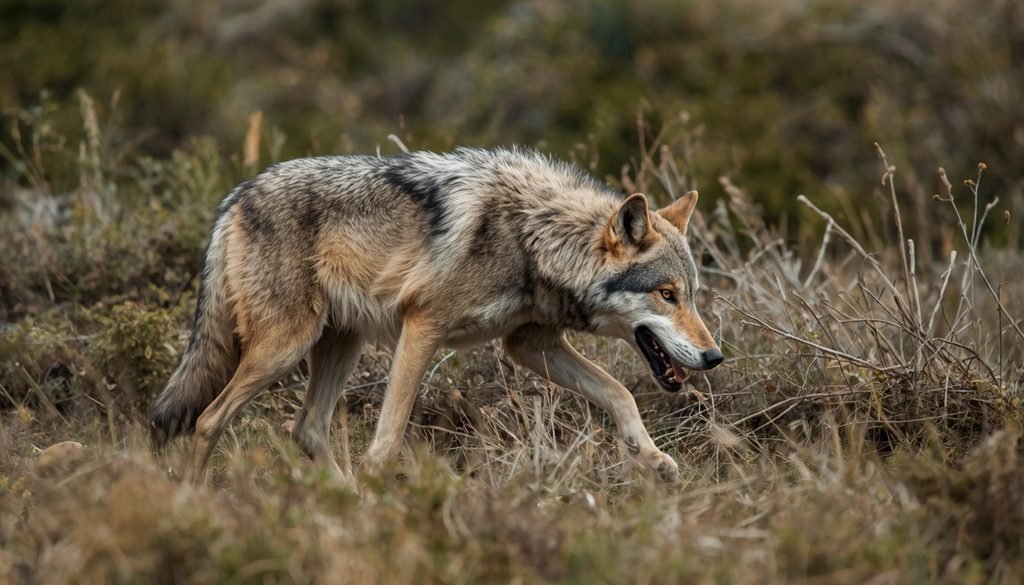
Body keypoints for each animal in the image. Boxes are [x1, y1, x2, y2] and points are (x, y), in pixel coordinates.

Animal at [149, 147, 724, 485]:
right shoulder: (422, 326)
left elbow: (620, 393)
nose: (715, 356)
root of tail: (236, 196)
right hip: (283, 349)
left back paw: (342, 503)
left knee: (306, 428)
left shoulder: (529, 345)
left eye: (693, 295)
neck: (534, 238)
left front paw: (652, 459)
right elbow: (386, 445)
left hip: (340, 345)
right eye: (666, 295)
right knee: (208, 419)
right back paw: (193, 503)